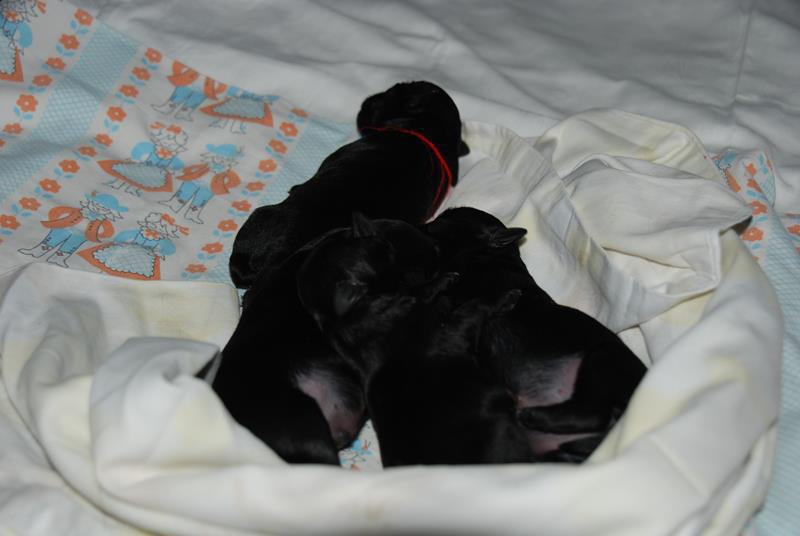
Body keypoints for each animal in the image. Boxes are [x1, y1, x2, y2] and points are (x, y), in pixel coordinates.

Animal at [425, 207, 648, 462]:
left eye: (451, 218)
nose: (429, 222)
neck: (493, 253)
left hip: (603, 357)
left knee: (595, 411)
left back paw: (532, 415)